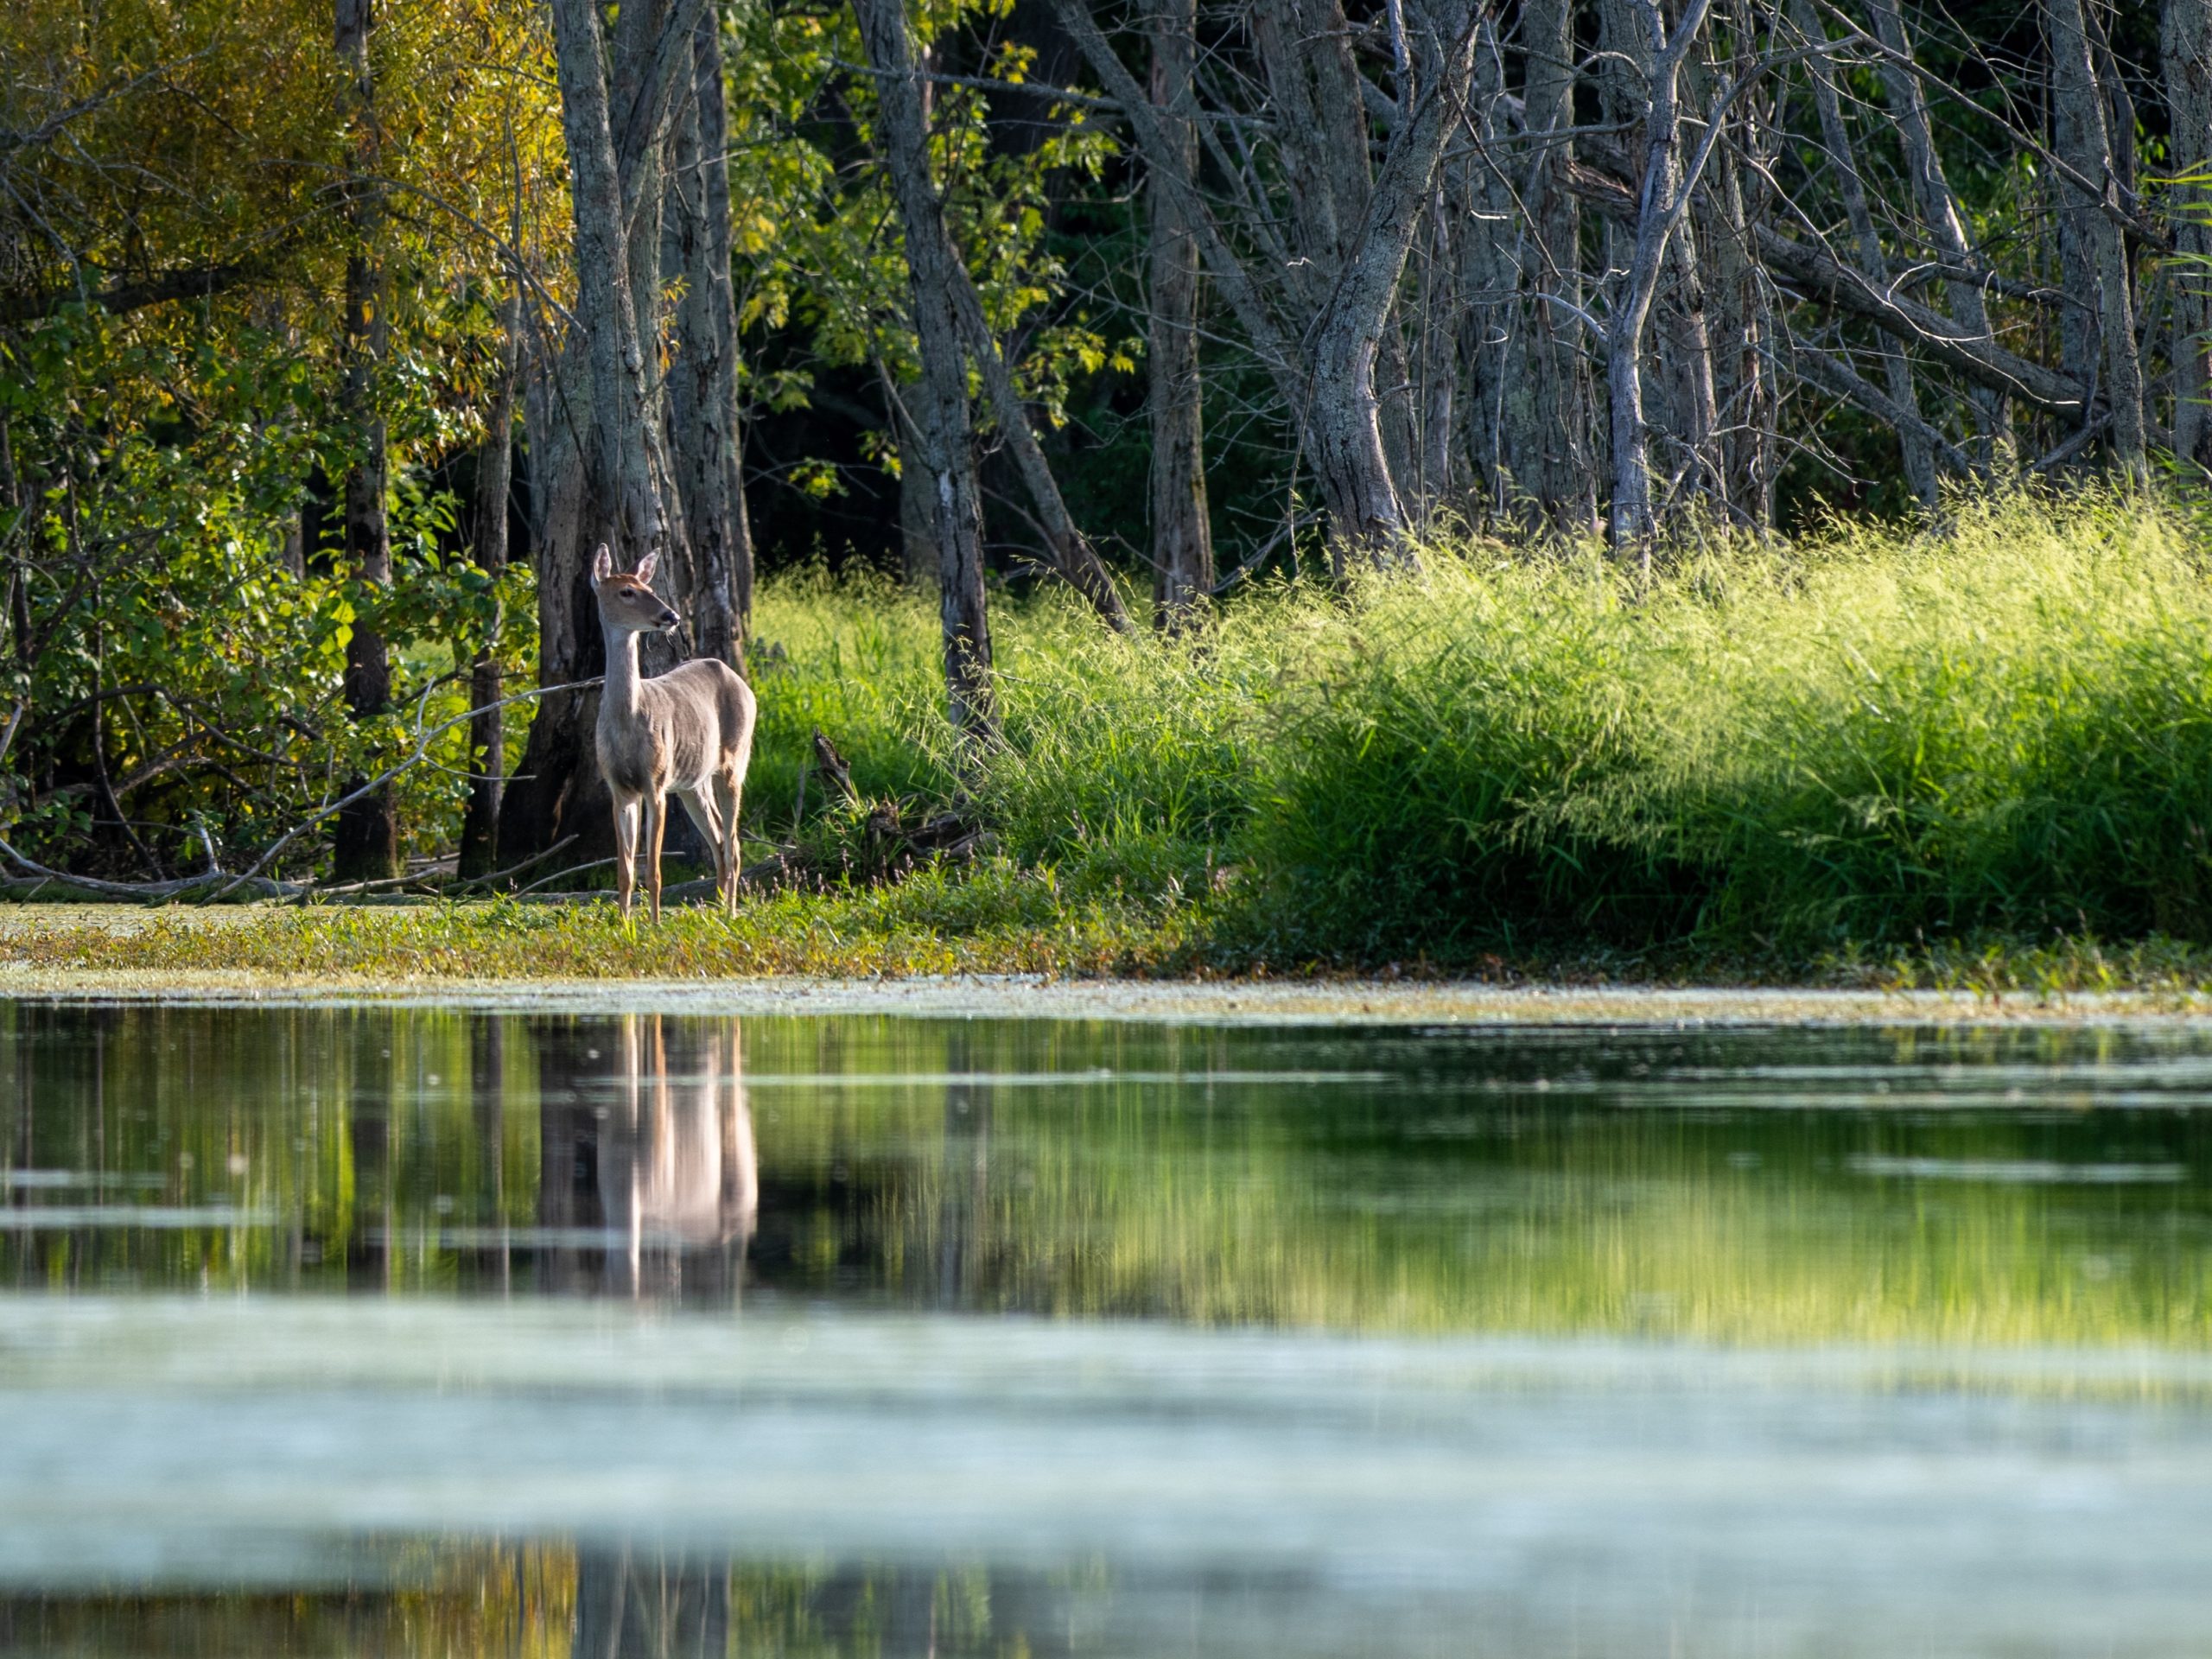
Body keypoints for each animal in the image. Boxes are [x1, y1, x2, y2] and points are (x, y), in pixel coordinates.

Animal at [590, 544, 756, 921]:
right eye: (627, 591)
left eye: (649, 588)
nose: (672, 615)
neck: (626, 721)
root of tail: (739, 680)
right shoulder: (619, 788)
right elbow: (625, 871)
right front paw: (623, 925)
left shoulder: (656, 783)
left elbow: (653, 871)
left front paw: (653, 925)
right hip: (693, 784)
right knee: (719, 840)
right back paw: (717, 912)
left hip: (734, 763)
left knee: (734, 845)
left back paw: (730, 914)